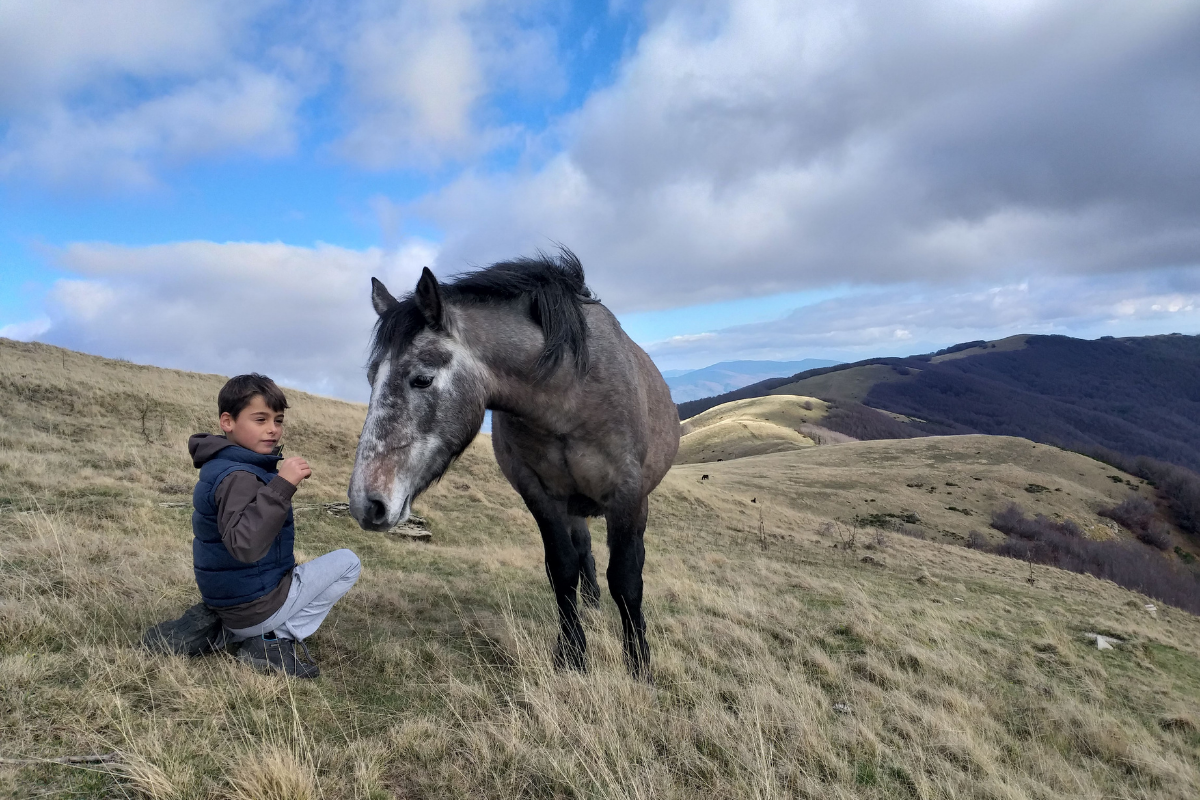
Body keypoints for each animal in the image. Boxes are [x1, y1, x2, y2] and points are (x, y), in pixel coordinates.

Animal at [350, 247, 686, 681]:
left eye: (422, 378)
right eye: (372, 378)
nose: (366, 503)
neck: (570, 393)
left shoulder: (626, 495)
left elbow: (627, 579)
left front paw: (639, 664)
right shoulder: (540, 495)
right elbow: (562, 570)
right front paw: (571, 656)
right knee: (584, 553)